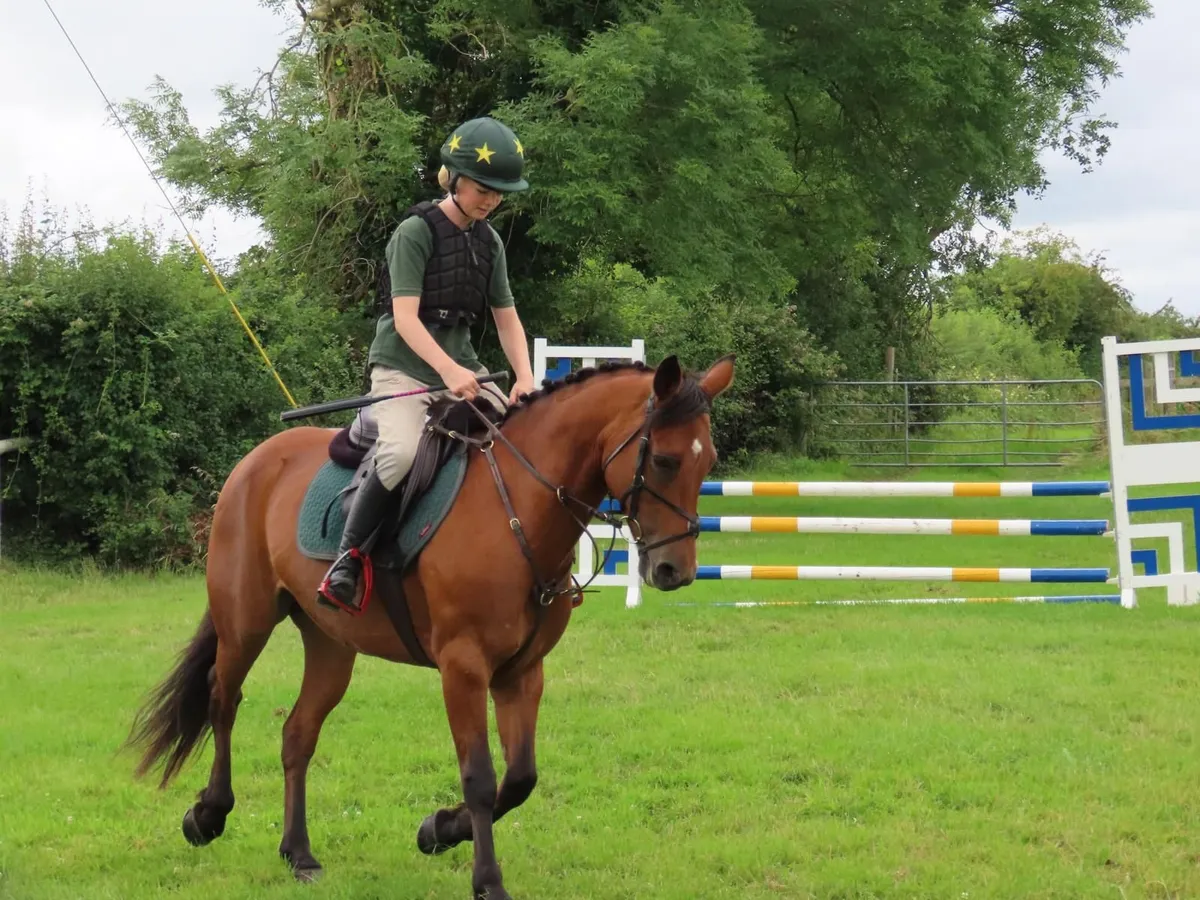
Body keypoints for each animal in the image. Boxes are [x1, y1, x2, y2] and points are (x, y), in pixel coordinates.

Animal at [125, 352, 734, 899]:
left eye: (707, 462)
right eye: (665, 461)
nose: (674, 571)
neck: (516, 509)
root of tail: (255, 462)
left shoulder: (521, 672)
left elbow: (520, 778)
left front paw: (438, 829)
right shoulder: (462, 668)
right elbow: (482, 778)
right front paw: (486, 880)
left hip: (330, 645)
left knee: (297, 733)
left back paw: (299, 853)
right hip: (245, 623)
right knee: (222, 700)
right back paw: (208, 815)